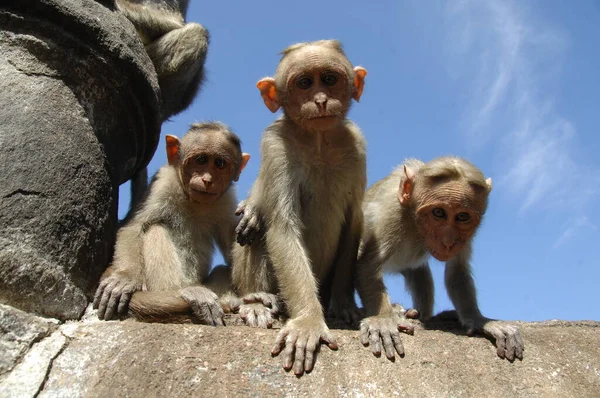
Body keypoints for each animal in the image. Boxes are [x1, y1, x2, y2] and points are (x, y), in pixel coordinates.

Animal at [92, 123, 251, 324]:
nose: (207, 180)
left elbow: (234, 242)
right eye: (201, 159)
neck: (193, 201)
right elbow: (133, 227)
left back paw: (227, 301)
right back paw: (186, 293)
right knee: (155, 229)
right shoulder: (163, 182)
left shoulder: (226, 201)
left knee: (222, 269)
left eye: (220, 164)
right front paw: (125, 277)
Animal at [231, 40, 368, 376]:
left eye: (329, 79)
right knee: (257, 230)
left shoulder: (357, 145)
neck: (319, 140)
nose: (320, 100)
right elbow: (281, 227)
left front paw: (343, 304)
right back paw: (257, 302)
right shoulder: (276, 144)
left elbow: (354, 224)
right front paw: (308, 321)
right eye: (305, 83)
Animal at [354, 158, 524, 360]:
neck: (414, 222)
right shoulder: (392, 213)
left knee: (419, 273)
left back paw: (421, 315)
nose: (448, 242)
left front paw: (479, 320)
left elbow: (457, 271)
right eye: (438, 213)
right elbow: (367, 265)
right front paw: (383, 320)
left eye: (462, 216)